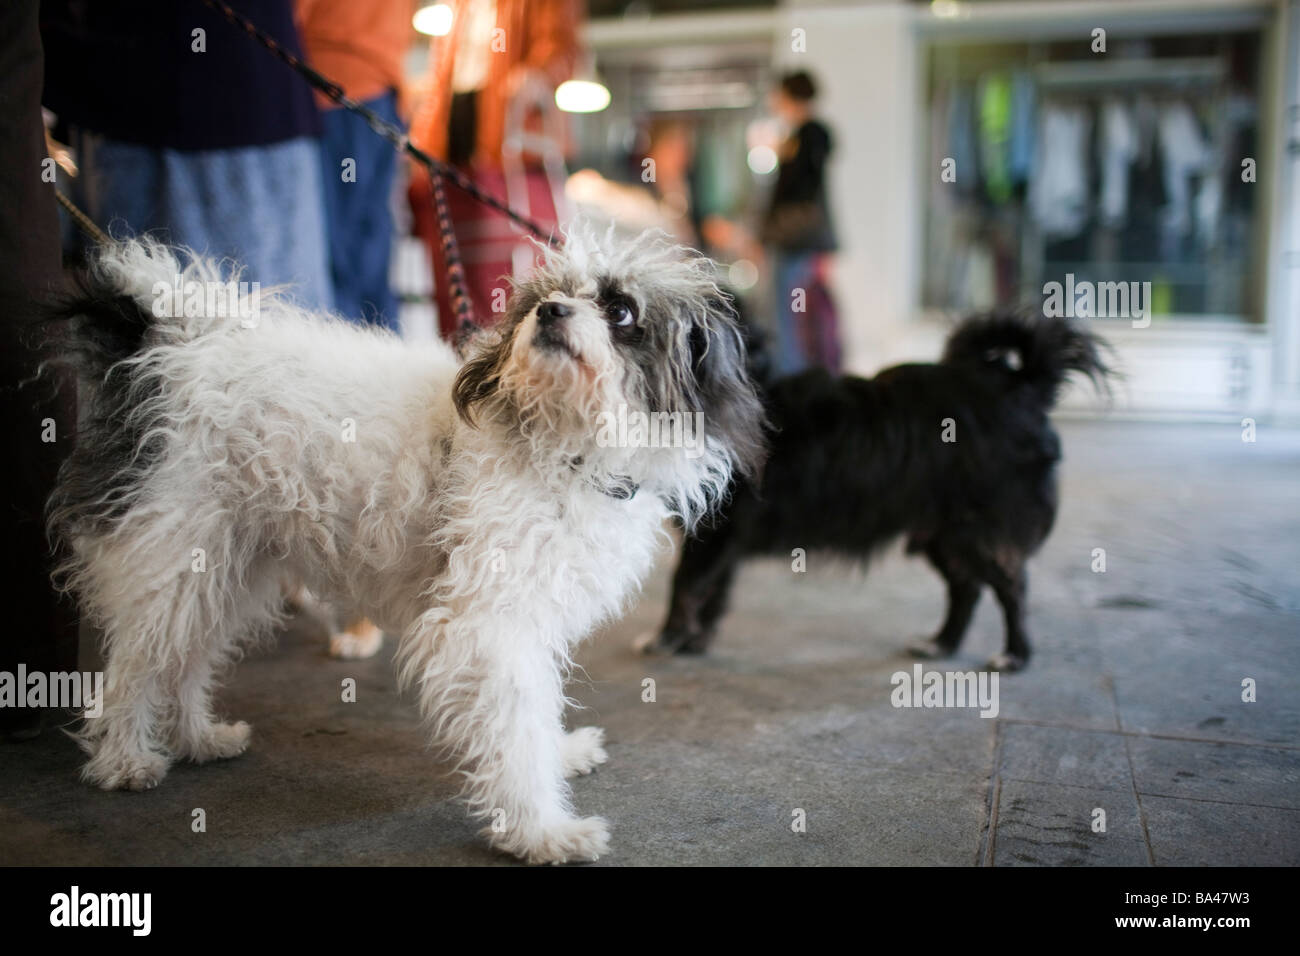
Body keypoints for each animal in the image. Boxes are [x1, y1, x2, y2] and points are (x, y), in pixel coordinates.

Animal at [48, 231, 759, 868]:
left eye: (622, 311)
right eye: (547, 296)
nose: (551, 312)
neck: (559, 444)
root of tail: (173, 346)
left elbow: (534, 710)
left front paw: (557, 758)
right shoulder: (488, 624)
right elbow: (515, 726)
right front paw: (541, 830)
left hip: (226, 566)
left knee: (185, 659)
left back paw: (197, 738)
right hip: (174, 555)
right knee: (136, 666)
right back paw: (125, 759)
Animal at [655, 310, 1112, 671]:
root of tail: (1023, 387)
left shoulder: (717, 533)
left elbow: (685, 585)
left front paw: (668, 640)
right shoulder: (723, 542)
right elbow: (712, 593)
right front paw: (693, 641)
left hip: (977, 530)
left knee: (1011, 588)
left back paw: (1014, 655)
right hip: (942, 535)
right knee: (966, 589)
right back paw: (941, 643)